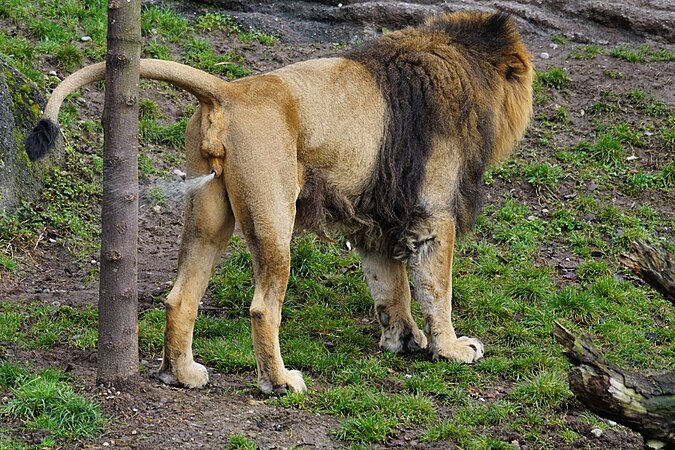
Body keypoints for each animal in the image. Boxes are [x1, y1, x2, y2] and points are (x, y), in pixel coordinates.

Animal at [25, 11, 532, 394]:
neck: (463, 67)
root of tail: (230, 91)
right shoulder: (433, 213)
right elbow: (435, 288)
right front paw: (452, 349)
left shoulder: (376, 219)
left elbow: (391, 287)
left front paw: (403, 341)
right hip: (274, 216)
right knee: (262, 308)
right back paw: (280, 382)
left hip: (208, 218)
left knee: (179, 297)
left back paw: (182, 375)